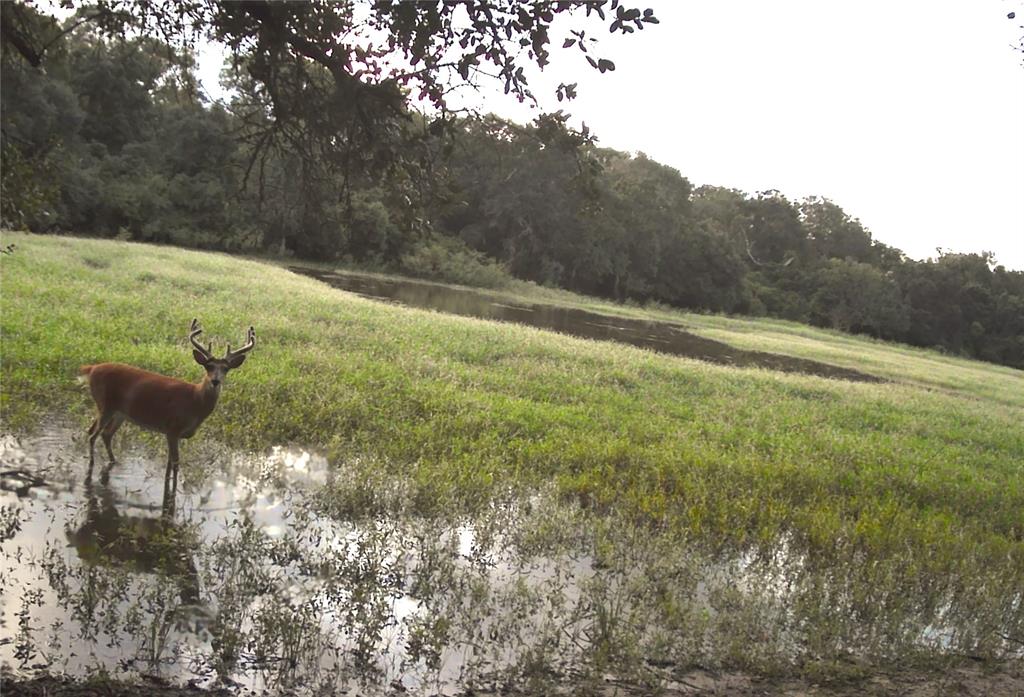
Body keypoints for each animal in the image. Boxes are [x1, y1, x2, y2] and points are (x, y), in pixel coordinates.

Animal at [80, 317, 254, 481]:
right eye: (208, 366)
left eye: (226, 369)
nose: (215, 381)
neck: (195, 401)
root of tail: (92, 369)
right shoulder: (172, 428)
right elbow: (175, 465)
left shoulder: (172, 433)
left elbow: (169, 466)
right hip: (105, 404)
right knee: (93, 434)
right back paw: (91, 465)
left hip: (119, 412)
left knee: (104, 433)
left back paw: (113, 462)